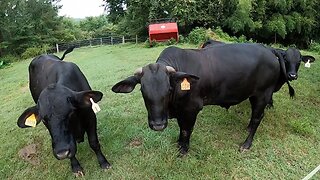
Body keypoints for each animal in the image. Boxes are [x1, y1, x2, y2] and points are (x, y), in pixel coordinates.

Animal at [16, 47, 110, 176]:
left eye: (70, 113)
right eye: (44, 119)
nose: (61, 153)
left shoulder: (90, 116)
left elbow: (94, 142)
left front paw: (103, 162)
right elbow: (72, 154)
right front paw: (76, 167)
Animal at [112, 43, 316, 155]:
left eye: (168, 89)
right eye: (143, 91)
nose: (158, 125)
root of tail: (270, 51)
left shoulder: (191, 109)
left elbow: (185, 130)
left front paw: (183, 150)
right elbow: (181, 130)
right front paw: (179, 145)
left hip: (263, 94)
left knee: (258, 117)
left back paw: (246, 144)